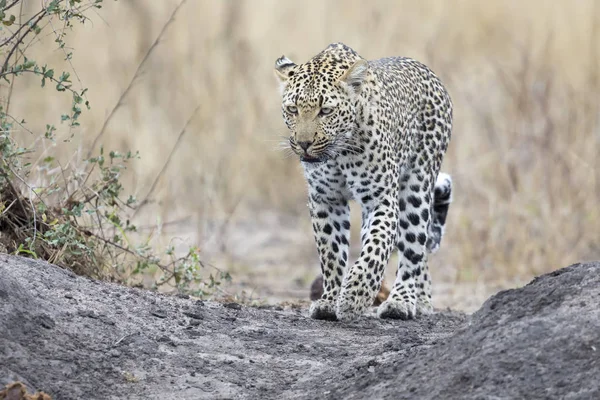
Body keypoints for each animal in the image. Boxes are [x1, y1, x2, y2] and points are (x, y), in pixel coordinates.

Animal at [274, 42, 452, 320]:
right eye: (293, 109)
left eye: (326, 110)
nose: (304, 144)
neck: (338, 153)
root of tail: (428, 72)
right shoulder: (326, 200)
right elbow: (332, 254)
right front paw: (329, 301)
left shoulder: (381, 198)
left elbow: (376, 248)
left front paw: (354, 298)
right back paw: (420, 300)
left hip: (417, 186)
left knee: (413, 246)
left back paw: (402, 301)